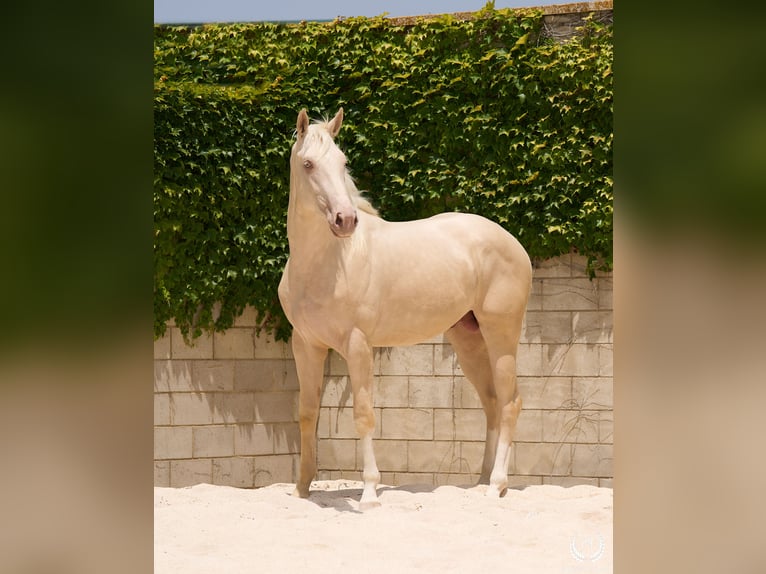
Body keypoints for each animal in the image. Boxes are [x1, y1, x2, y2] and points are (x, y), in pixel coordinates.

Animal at [278, 108, 532, 508]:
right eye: (308, 164)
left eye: (343, 162)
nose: (345, 220)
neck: (329, 263)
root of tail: (513, 243)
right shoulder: (305, 345)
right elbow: (307, 413)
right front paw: (302, 489)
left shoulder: (358, 345)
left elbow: (363, 415)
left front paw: (369, 492)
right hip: (468, 340)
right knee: (492, 403)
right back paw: (480, 481)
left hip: (501, 336)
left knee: (510, 403)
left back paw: (497, 485)